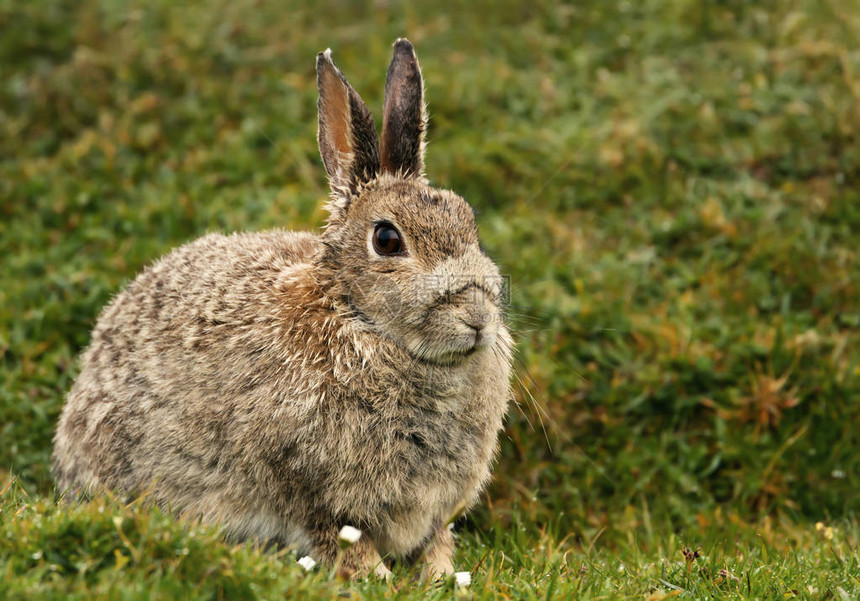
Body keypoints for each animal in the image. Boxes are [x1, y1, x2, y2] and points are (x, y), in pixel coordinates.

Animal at [53, 38, 510, 580]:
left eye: (468, 220)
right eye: (387, 240)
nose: (478, 316)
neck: (356, 319)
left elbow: (435, 541)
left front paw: (441, 577)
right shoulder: (316, 497)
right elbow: (343, 541)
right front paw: (379, 581)